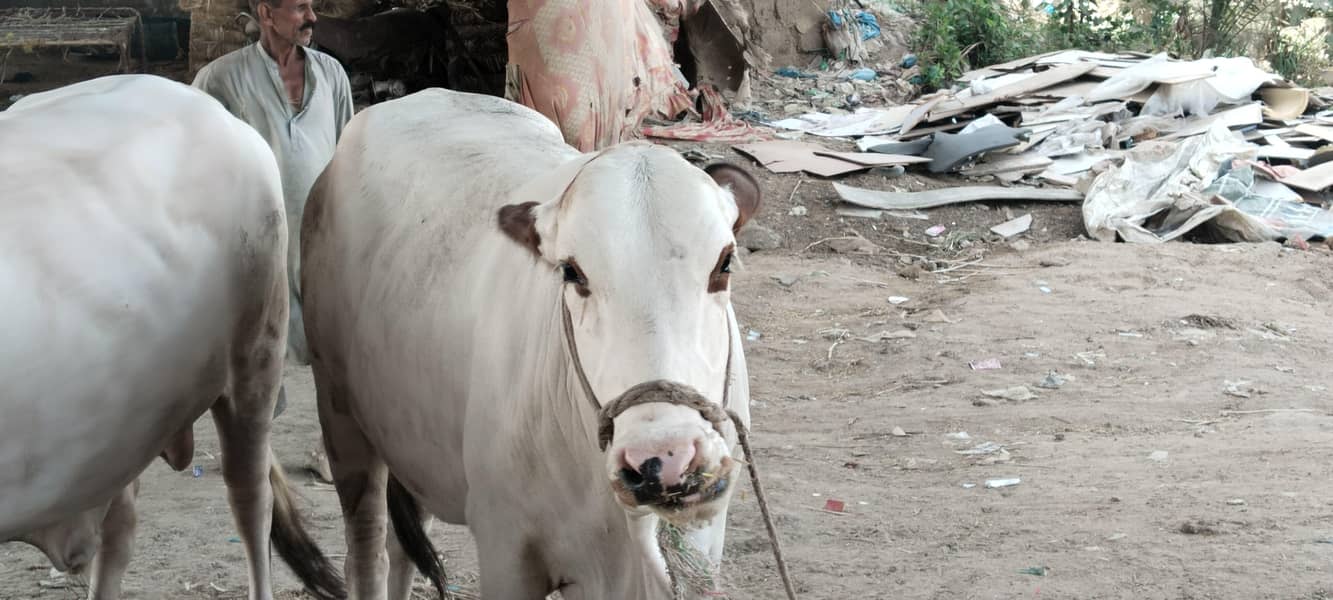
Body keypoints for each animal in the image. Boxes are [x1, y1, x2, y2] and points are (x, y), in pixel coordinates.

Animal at [300, 88, 762, 599]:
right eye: (572, 272)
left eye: (724, 263)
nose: (665, 460)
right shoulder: (507, 552)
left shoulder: (701, 542)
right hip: (340, 413)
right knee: (366, 552)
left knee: (403, 549)